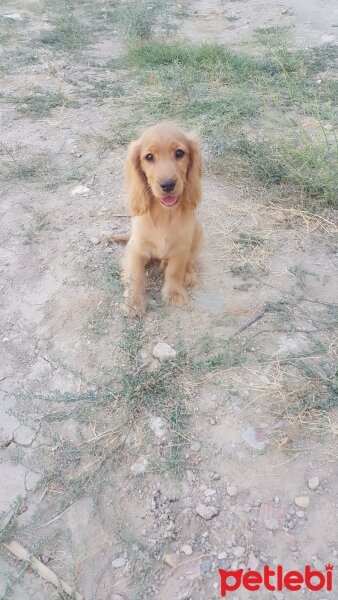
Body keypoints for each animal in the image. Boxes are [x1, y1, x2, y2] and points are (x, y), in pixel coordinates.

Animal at [120, 123, 202, 318]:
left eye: (179, 153)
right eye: (149, 157)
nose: (168, 184)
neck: (165, 214)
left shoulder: (181, 248)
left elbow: (174, 272)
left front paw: (174, 293)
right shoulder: (136, 248)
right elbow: (136, 275)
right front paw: (133, 303)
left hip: (198, 230)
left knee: (191, 259)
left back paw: (188, 272)